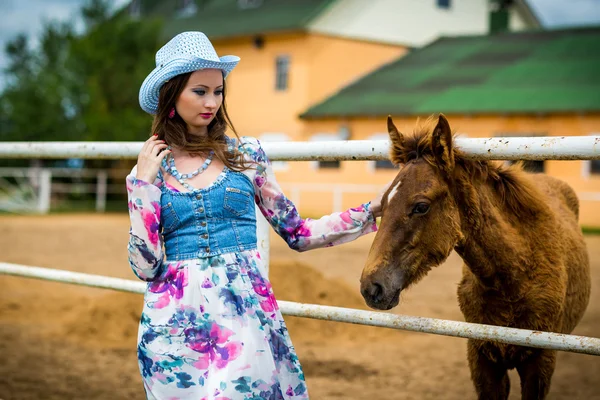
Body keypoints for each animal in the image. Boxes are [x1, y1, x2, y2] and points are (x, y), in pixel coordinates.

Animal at [360, 114, 592, 398]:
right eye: (383, 203)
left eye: (421, 206)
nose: (371, 287)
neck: (514, 279)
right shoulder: (482, 358)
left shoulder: (540, 364)